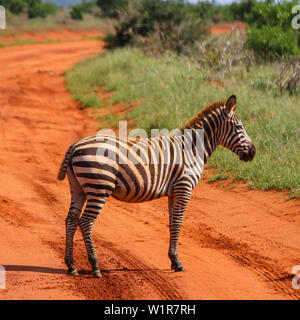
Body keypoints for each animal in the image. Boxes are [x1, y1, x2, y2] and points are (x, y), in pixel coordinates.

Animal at [58, 94, 255, 278]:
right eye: (239, 127)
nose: (253, 153)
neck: (191, 150)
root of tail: (74, 146)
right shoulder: (184, 187)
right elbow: (178, 222)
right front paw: (178, 263)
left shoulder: (174, 192)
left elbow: (172, 222)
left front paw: (173, 260)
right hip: (99, 187)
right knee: (86, 222)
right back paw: (95, 266)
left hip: (78, 187)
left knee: (71, 220)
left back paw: (71, 266)